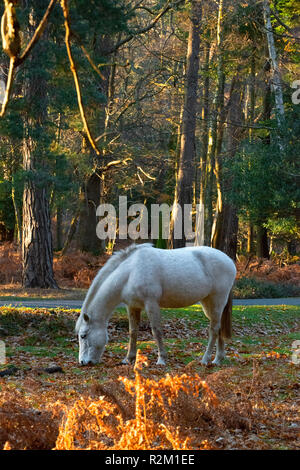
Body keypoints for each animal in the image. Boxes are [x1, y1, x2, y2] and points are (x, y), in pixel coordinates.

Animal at [75, 244, 237, 370]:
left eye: (83, 335)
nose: (83, 362)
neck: (131, 271)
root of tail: (229, 261)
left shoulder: (151, 304)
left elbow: (156, 331)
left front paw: (161, 360)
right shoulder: (132, 307)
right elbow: (133, 332)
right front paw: (128, 359)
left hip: (217, 301)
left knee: (214, 330)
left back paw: (205, 359)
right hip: (208, 304)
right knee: (219, 327)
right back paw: (218, 359)